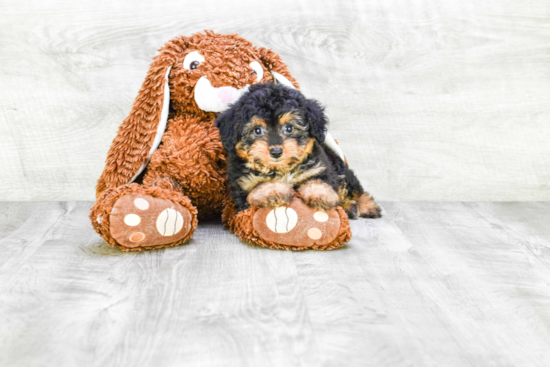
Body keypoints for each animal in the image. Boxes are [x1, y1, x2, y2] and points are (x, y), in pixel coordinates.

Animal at [217, 83, 384, 220]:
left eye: (289, 128)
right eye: (257, 130)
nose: (276, 151)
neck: (282, 169)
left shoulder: (320, 166)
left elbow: (318, 181)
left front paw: (321, 194)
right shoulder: (242, 184)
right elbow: (261, 184)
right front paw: (273, 191)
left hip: (340, 168)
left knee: (353, 189)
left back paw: (366, 206)